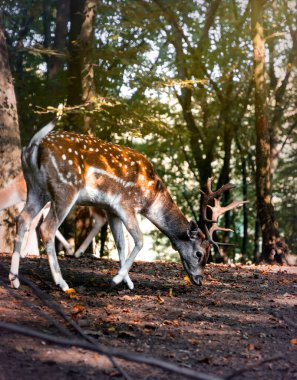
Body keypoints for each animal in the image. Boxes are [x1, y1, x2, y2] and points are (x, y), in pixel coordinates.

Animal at [9, 119, 245, 290]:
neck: (152, 196)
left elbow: (121, 244)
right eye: (199, 254)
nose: (199, 280)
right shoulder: (126, 203)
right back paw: (62, 283)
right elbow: (139, 240)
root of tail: (34, 147)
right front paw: (116, 280)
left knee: (22, 219)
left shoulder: (111, 209)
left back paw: (14, 279)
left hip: (36, 189)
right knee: (46, 228)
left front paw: (127, 282)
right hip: (64, 188)